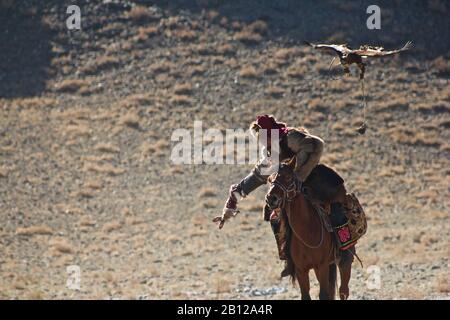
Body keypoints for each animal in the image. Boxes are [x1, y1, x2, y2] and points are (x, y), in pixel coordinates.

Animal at [266, 158, 354, 300]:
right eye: (269, 179)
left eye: (288, 177)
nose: (271, 198)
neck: (307, 232)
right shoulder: (301, 270)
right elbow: (306, 295)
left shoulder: (321, 267)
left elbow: (323, 295)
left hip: (341, 263)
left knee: (343, 290)